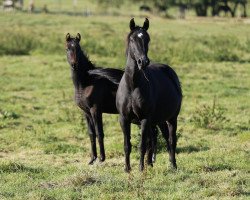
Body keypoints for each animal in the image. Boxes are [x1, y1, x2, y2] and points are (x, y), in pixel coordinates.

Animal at [116, 19, 183, 172]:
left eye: (147, 39)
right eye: (132, 39)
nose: (143, 61)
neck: (133, 86)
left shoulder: (145, 119)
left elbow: (142, 145)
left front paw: (141, 168)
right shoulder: (124, 119)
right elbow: (127, 145)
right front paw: (127, 168)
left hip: (171, 118)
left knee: (171, 140)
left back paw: (173, 165)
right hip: (158, 121)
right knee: (156, 139)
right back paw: (151, 164)